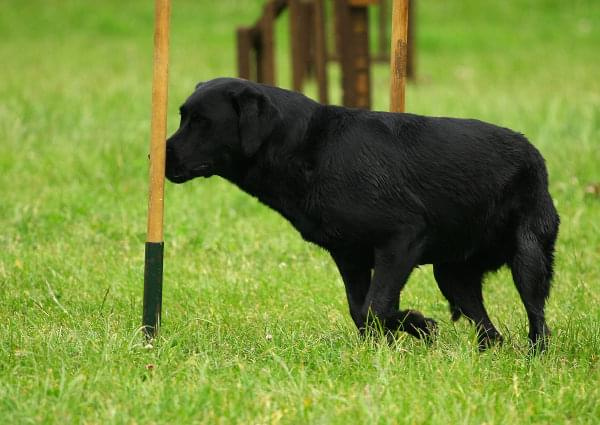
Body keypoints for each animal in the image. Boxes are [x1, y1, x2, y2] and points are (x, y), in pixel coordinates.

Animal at [164, 78, 556, 350]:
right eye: (183, 117)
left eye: (201, 121)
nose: (157, 156)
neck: (309, 149)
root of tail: (533, 151)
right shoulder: (348, 255)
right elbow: (361, 310)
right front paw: (399, 336)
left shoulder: (402, 238)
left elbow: (374, 307)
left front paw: (417, 324)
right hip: (452, 274)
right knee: (489, 330)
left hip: (529, 255)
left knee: (537, 318)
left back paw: (535, 356)